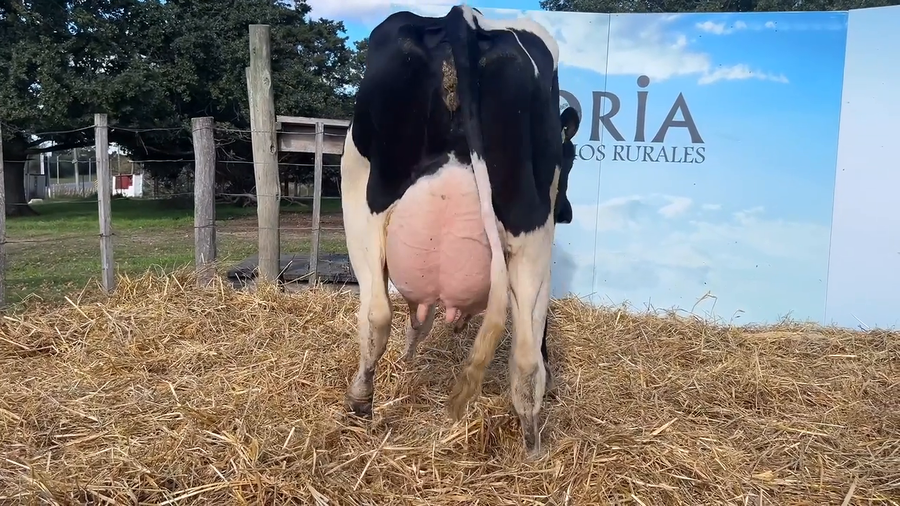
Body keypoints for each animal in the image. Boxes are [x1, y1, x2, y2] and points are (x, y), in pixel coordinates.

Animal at [340, 4, 580, 456]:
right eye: (572, 159)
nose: (568, 212)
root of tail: (461, 17)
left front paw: (409, 356)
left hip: (361, 206)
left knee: (376, 313)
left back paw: (360, 399)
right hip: (531, 229)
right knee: (526, 355)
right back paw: (532, 443)